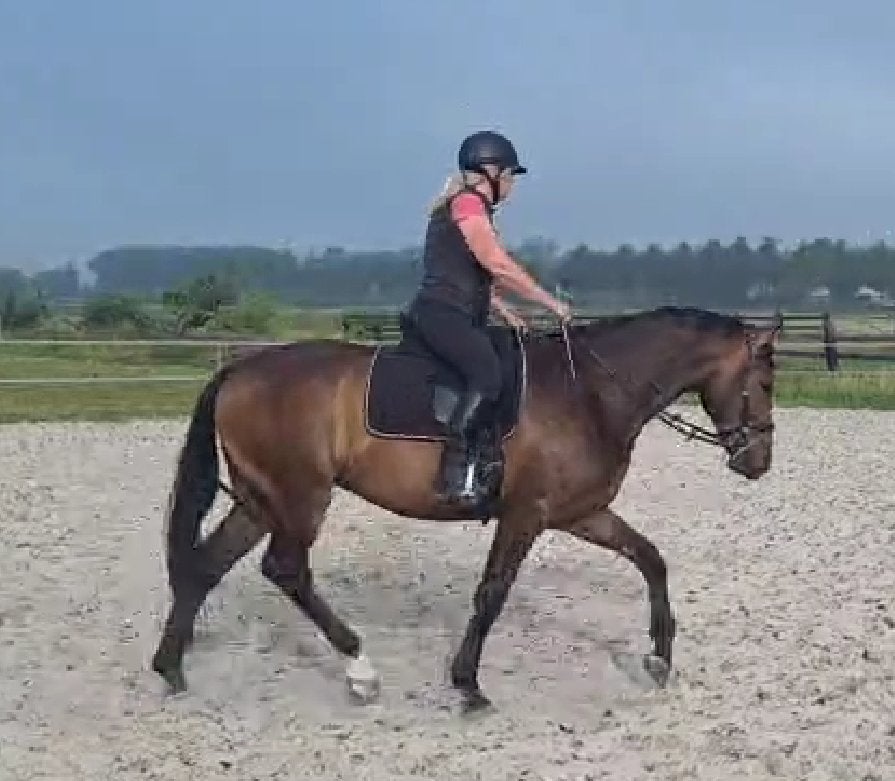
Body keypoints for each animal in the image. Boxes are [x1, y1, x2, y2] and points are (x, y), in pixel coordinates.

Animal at [151, 306, 779, 712]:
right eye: (766, 381)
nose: (758, 462)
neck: (590, 393)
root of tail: (239, 370)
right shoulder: (526, 514)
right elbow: (492, 592)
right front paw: (468, 685)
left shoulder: (580, 513)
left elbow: (651, 559)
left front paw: (659, 659)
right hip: (300, 497)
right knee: (285, 570)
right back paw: (360, 670)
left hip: (262, 500)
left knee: (206, 566)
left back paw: (172, 669)